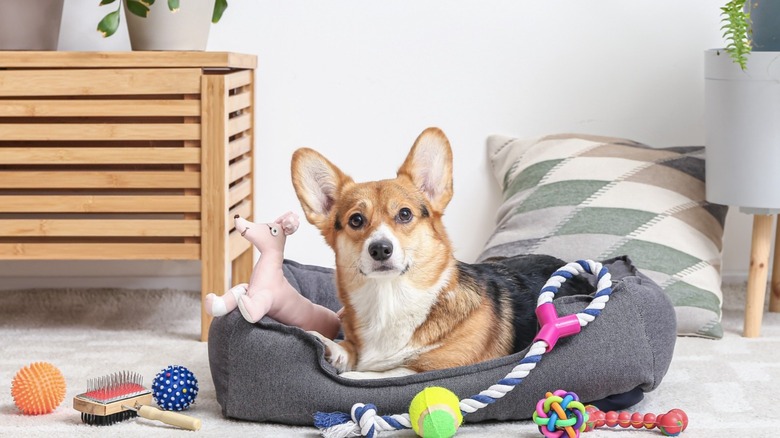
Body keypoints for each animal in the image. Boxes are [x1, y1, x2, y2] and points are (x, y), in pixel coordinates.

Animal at [290, 126, 592, 376]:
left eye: (404, 214)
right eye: (356, 220)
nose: (380, 249)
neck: (389, 299)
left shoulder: (442, 365)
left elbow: (384, 373)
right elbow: (349, 351)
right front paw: (329, 346)